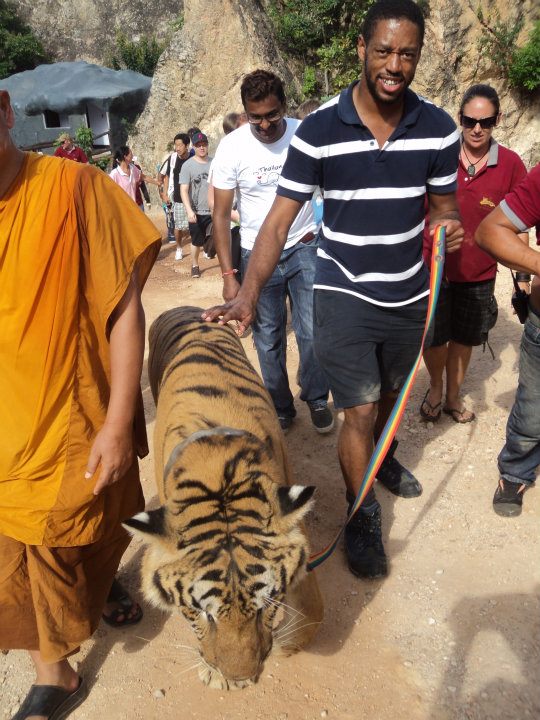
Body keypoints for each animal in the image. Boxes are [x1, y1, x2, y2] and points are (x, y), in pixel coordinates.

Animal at [124, 306, 322, 688]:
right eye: (202, 613)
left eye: (265, 605)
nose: (243, 678)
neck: (219, 473)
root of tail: (183, 308)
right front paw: (216, 675)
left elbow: (313, 608)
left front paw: (286, 645)